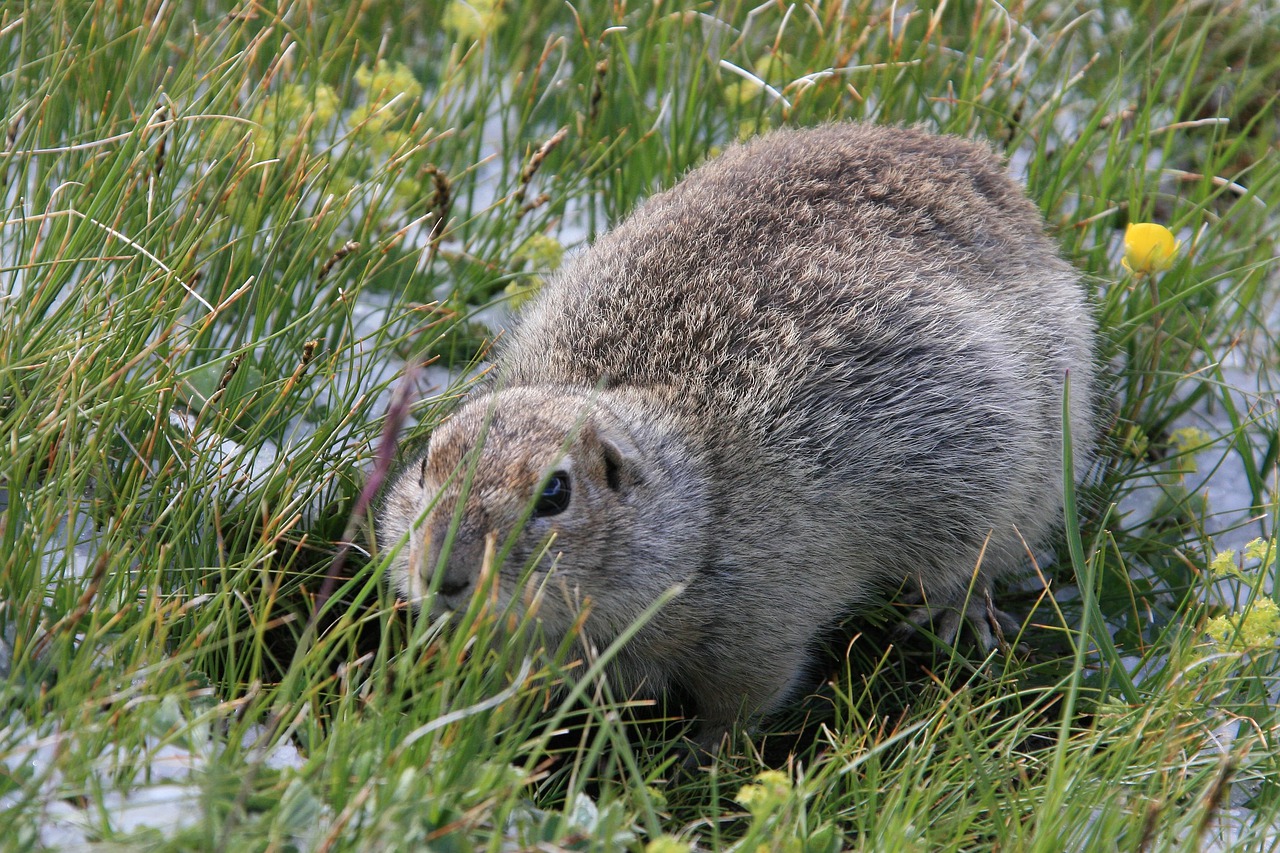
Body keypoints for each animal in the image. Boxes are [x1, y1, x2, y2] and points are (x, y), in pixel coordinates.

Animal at [373, 119, 1095, 742]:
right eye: (425, 465)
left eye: (555, 493)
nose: (442, 576)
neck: (695, 506)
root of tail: (984, 169)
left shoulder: (760, 627)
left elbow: (742, 704)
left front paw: (703, 759)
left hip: (1019, 468)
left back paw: (956, 615)